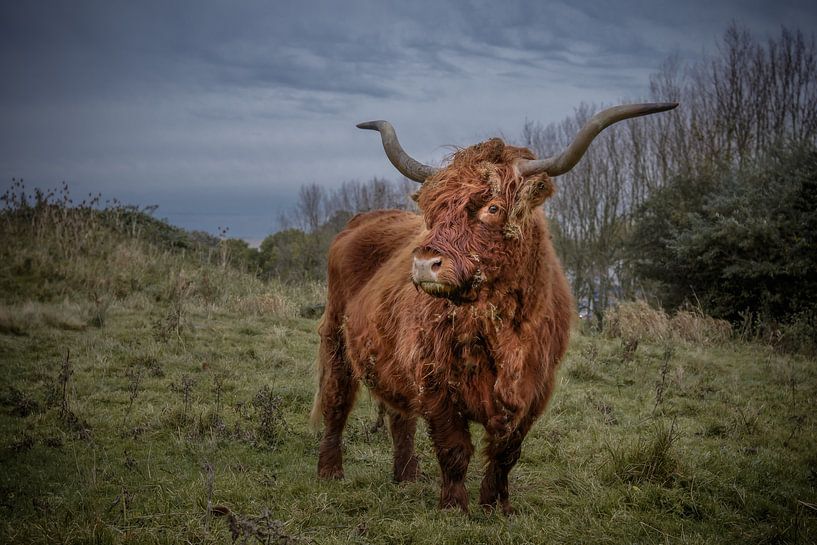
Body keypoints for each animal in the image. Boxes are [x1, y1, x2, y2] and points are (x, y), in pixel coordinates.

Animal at [310, 103, 676, 516]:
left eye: (493, 207)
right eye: (432, 211)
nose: (424, 263)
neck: (501, 328)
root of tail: (362, 219)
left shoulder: (533, 390)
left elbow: (505, 453)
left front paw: (495, 506)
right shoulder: (436, 382)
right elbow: (454, 449)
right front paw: (454, 507)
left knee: (399, 415)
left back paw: (406, 476)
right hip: (335, 338)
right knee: (337, 401)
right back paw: (330, 471)